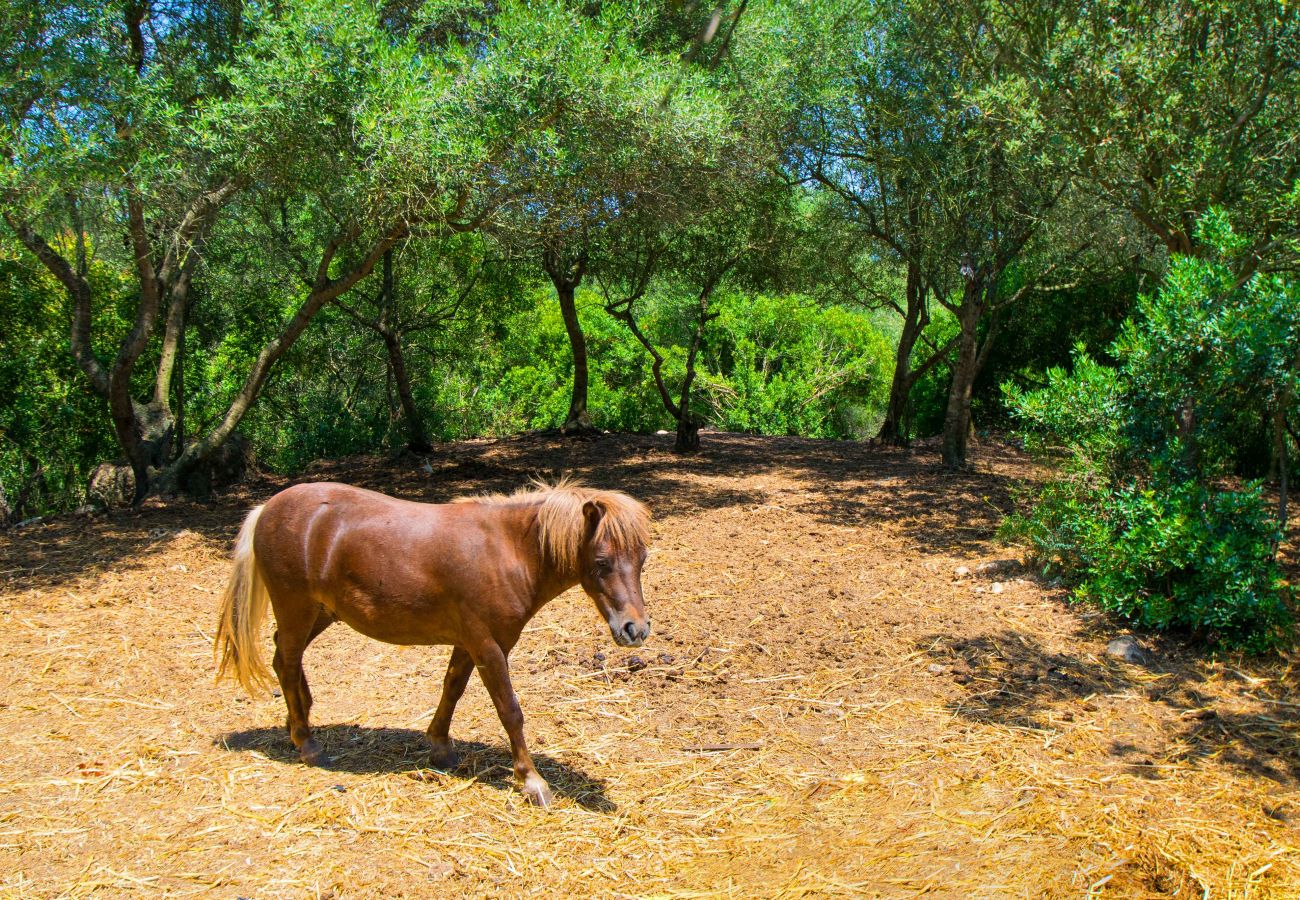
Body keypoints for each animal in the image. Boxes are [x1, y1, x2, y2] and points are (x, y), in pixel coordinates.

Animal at [219, 481, 660, 806]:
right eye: (601, 562)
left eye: (642, 560)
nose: (635, 629)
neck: (507, 550)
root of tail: (267, 508)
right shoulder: (489, 646)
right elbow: (510, 711)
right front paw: (532, 781)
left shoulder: (470, 643)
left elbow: (452, 689)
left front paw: (441, 748)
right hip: (297, 610)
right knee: (288, 660)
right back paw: (307, 743)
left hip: (320, 614)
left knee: (283, 659)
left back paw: (299, 720)